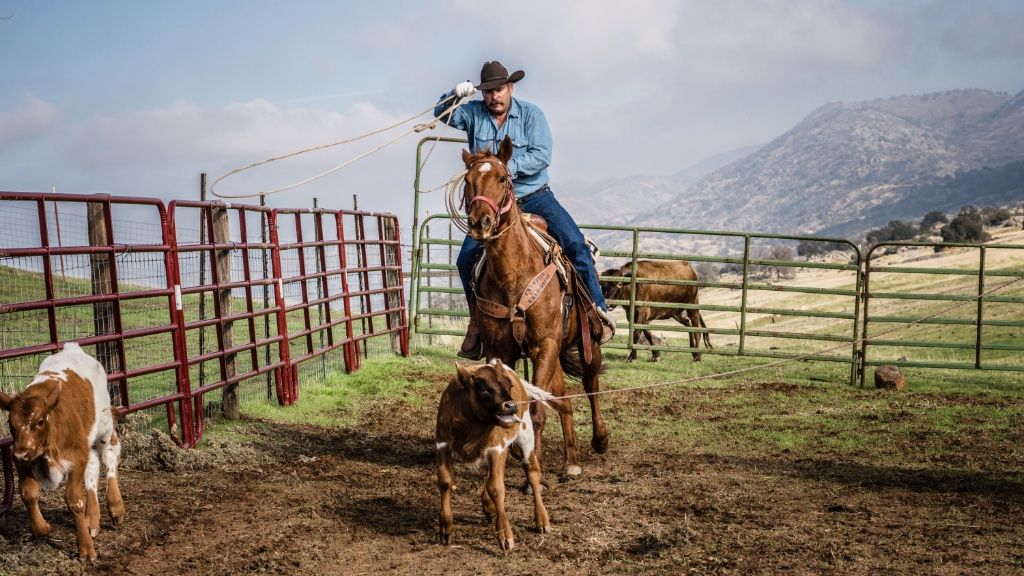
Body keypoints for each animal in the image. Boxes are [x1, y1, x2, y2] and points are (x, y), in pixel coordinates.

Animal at [0, 340, 125, 557]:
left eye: (40, 421)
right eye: (10, 423)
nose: (21, 453)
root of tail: (72, 348)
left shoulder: (76, 457)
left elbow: (74, 499)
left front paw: (85, 547)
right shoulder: (23, 462)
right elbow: (28, 493)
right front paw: (42, 528)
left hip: (103, 425)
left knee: (110, 454)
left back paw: (115, 507)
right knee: (92, 468)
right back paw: (92, 520)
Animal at [434, 356, 569, 549]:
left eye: (508, 384)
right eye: (482, 388)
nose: (511, 406)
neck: (472, 425)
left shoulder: (497, 449)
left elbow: (497, 488)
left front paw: (505, 535)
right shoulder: (442, 445)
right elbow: (445, 482)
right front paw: (446, 528)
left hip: (525, 442)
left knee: (532, 474)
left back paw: (542, 519)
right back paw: (489, 505)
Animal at [458, 135, 606, 475]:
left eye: (503, 178)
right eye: (467, 181)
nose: (481, 222)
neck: (514, 275)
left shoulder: (544, 344)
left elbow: (537, 412)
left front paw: (533, 470)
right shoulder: (502, 351)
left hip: (585, 341)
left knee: (590, 385)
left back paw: (599, 440)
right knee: (562, 396)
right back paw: (571, 460)